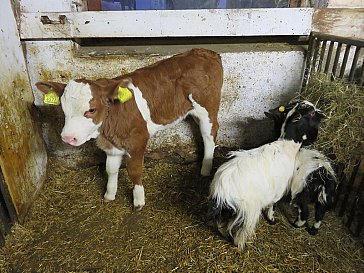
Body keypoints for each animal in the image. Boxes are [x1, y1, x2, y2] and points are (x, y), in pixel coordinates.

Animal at [37, 47, 225, 210]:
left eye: (91, 110)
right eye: (63, 108)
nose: (68, 138)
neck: (107, 128)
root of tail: (206, 51)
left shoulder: (138, 139)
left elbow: (134, 170)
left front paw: (138, 201)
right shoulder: (111, 145)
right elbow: (110, 169)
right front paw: (109, 195)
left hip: (208, 108)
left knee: (209, 136)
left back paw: (205, 169)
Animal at [208, 100, 324, 249]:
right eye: (311, 112)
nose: (322, 114)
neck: (286, 146)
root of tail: (221, 191)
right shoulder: (278, 190)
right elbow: (273, 205)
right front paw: (271, 219)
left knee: (221, 225)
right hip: (249, 209)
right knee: (242, 231)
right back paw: (242, 245)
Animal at [264, 101, 338, 234]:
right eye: (312, 112)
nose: (323, 114)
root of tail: (324, 180)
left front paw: (271, 218)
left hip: (301, 192)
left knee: (305, 213)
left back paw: (296, 224)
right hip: (322, 198)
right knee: (319, 214)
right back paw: (313, 230)